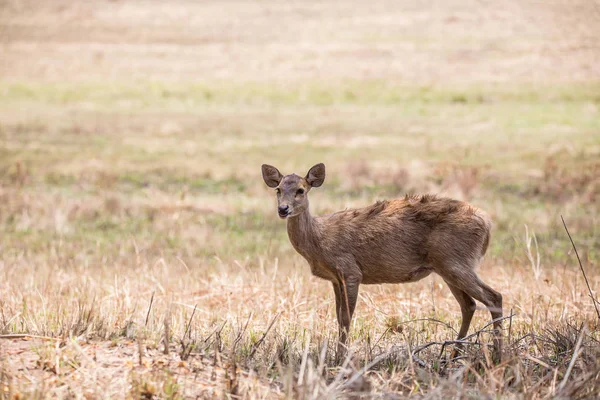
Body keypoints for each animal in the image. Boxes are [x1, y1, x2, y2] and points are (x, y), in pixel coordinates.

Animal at [262, 162, 502, 362]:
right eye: (278, 190)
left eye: (301, 190)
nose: (283, 209)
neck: (319, 240)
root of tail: (487, 224)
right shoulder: (335, 279)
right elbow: (339, 318)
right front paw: (338, 355)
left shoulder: (350, 270)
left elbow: (346, 318)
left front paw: (341, 359)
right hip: (447, 267)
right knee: (469, 305)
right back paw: (454, 354)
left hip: (456, 261)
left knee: (494, 297)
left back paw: (498, 355)